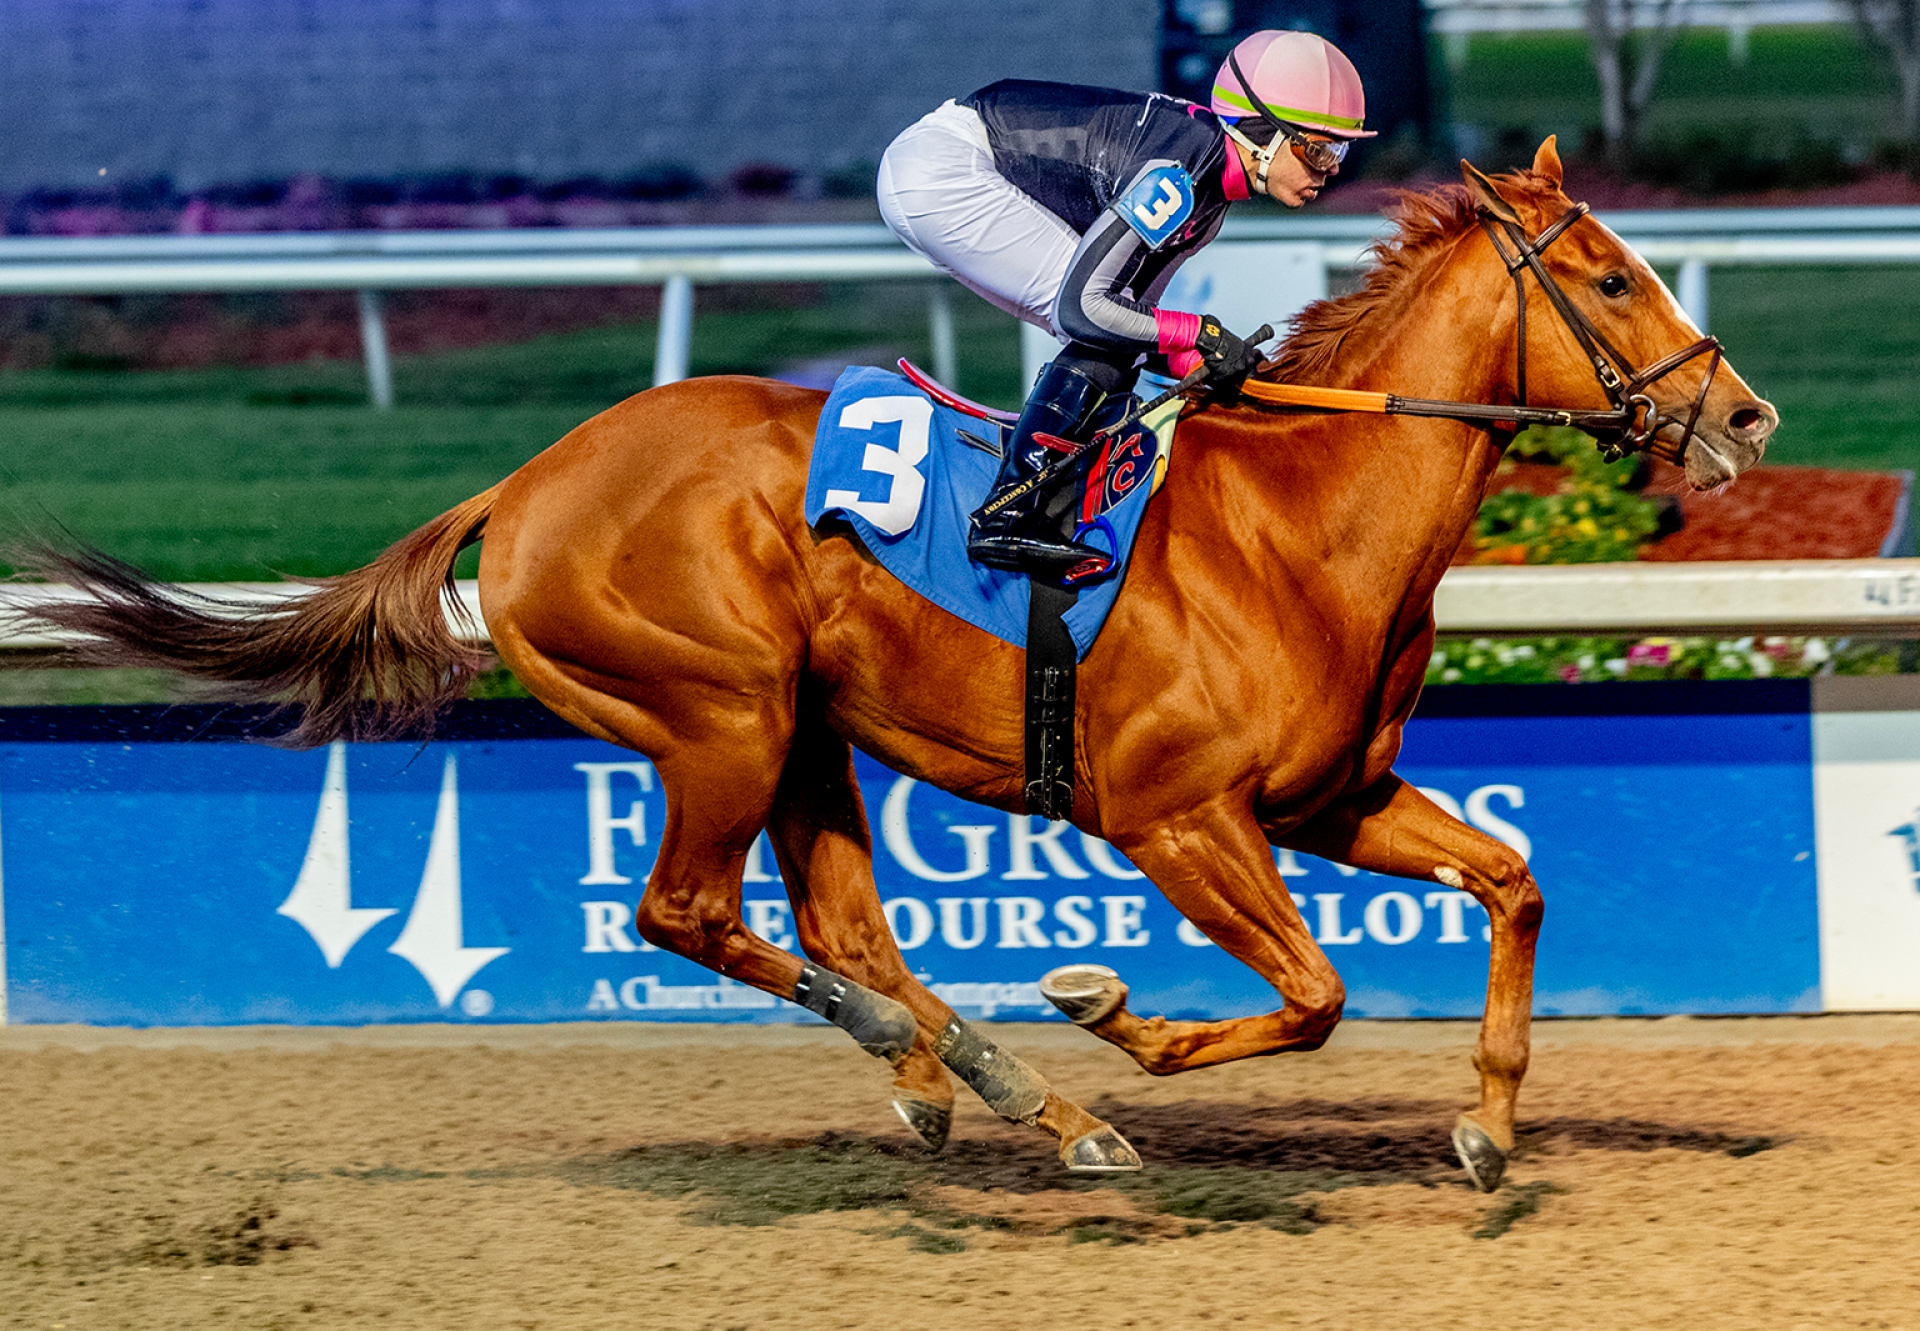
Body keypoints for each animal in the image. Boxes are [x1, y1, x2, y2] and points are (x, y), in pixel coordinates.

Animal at [22, 143, 1774, 1183]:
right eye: (1608, 277)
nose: (1745, 416)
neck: (1301, 521)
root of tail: (521, 487)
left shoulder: (1330, 797)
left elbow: (1512, 883)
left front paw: (1487, 1124)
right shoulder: (1173, 815)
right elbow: (1318, 989)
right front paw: (1113, 1012)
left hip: (804, 725)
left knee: (841, 922)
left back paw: (985, 1083)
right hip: (717, 711)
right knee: (690, 912)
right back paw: (999, 1079)